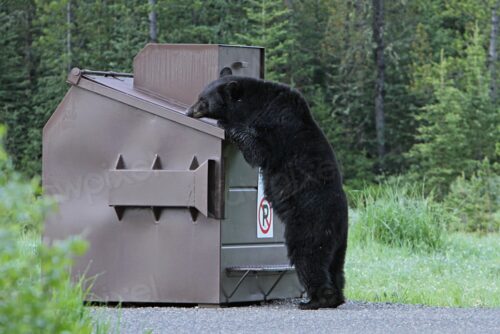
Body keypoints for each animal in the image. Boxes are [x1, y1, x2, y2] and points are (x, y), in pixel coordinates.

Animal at [187, 70, 348, 310]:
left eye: (203, 99)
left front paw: (226, 123)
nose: (189, 111)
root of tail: (338, 221)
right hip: (339, 242)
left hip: (310, 224)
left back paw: (315, 300)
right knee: (335, 267)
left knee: (308, 256)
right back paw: (335, 297)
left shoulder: (276, 126)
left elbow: (259, 151)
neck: (258, 104)